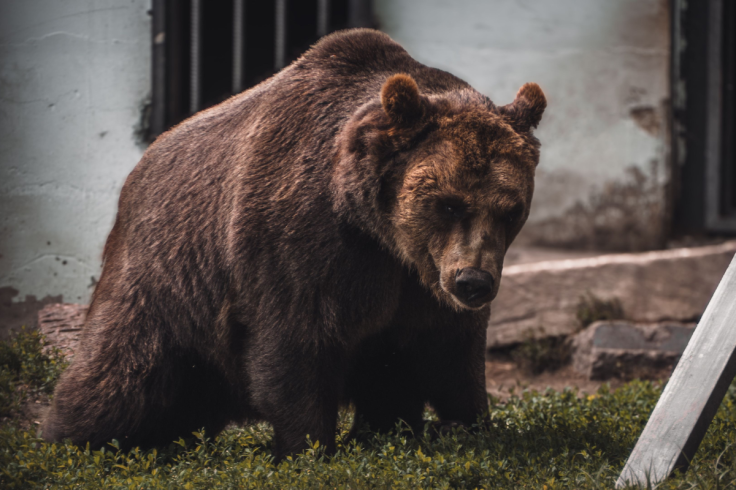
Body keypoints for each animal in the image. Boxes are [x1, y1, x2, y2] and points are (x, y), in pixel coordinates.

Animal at [42, 28, 546, 461]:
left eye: (510, 209)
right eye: (448, 203)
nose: (473, 282)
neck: (380, 232)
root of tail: (138, 170)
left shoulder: (420, 284)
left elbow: (451, 355)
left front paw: (470, 424)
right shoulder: (302, 244)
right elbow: (296, 345)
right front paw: (308, 448)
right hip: (166, 281)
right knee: (119, 379)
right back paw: (70, 440)